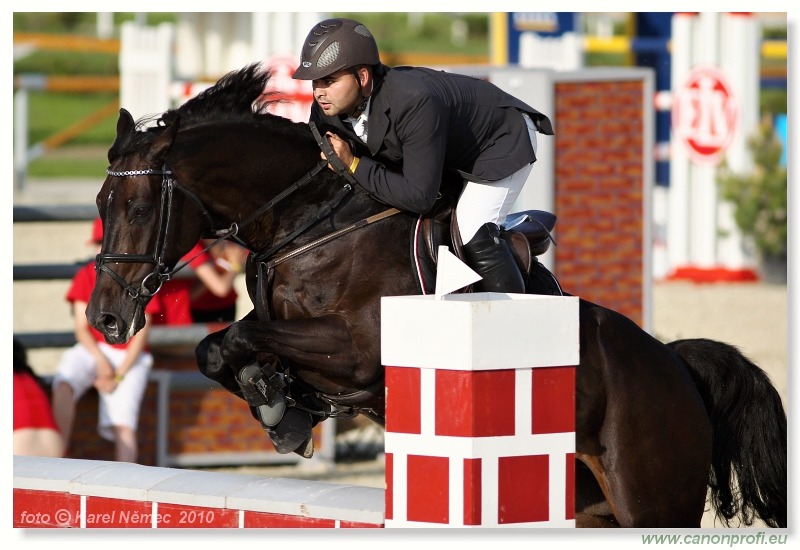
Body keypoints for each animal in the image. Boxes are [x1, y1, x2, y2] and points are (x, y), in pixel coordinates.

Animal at [84, 64, 784, 532]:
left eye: (139, 206)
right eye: (100, 203)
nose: (105, 319)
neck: (309, 223)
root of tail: (676, 367)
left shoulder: (359, 352)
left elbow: (237, 337)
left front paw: (278, 406)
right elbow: (215, 349)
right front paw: (280, 407)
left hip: (649, 498)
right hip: (591, 508)